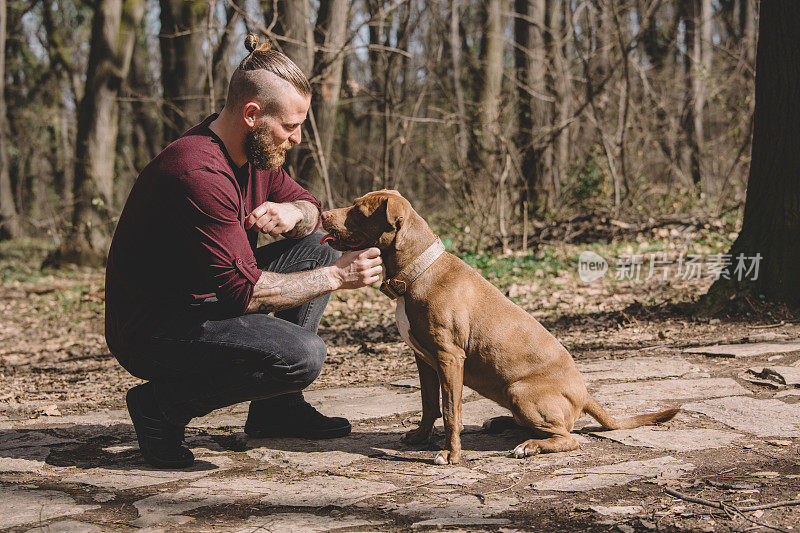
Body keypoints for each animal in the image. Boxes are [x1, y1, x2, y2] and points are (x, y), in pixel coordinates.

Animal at [322, 189, 680, 464]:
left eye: (358, 209)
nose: (323, 213)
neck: (417, 270)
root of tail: (584, 394)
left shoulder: (449, 358)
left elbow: (450, 411)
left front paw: (451, 455)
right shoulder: (424, 359)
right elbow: (428, 405)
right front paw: (422, 438)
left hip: (519, 391)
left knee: (567, 437)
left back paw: (529, 447)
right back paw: (501, 423)